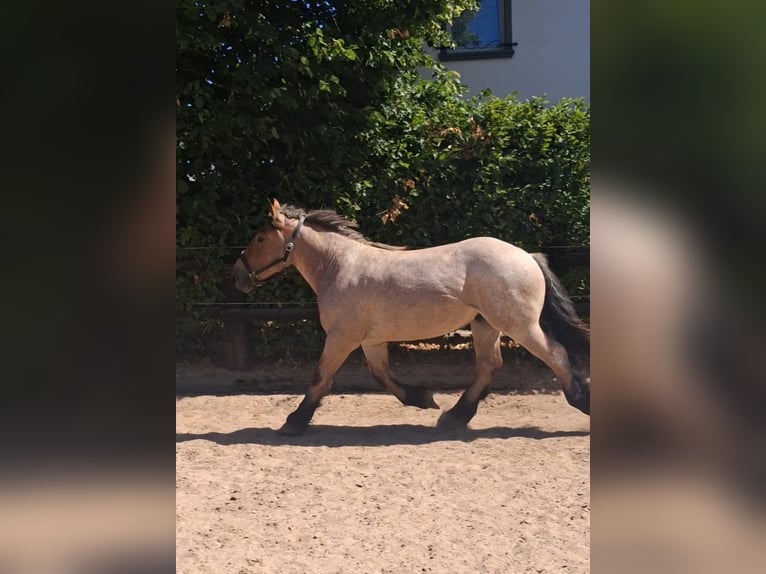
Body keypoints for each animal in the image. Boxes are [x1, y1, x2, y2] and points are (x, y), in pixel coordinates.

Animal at [231, 199, 590, 436]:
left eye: (260, 238)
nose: (236, 275)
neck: (338, 267)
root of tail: (526, 255)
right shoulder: (371, 340)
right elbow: (381, 375)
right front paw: (423, 398)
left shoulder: (341, 336)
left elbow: (321, 376)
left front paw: (294, 421)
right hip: (486, 325)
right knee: (488, 366)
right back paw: (454, 417)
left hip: (519, 325)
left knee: (556, 354)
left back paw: (580, 401)